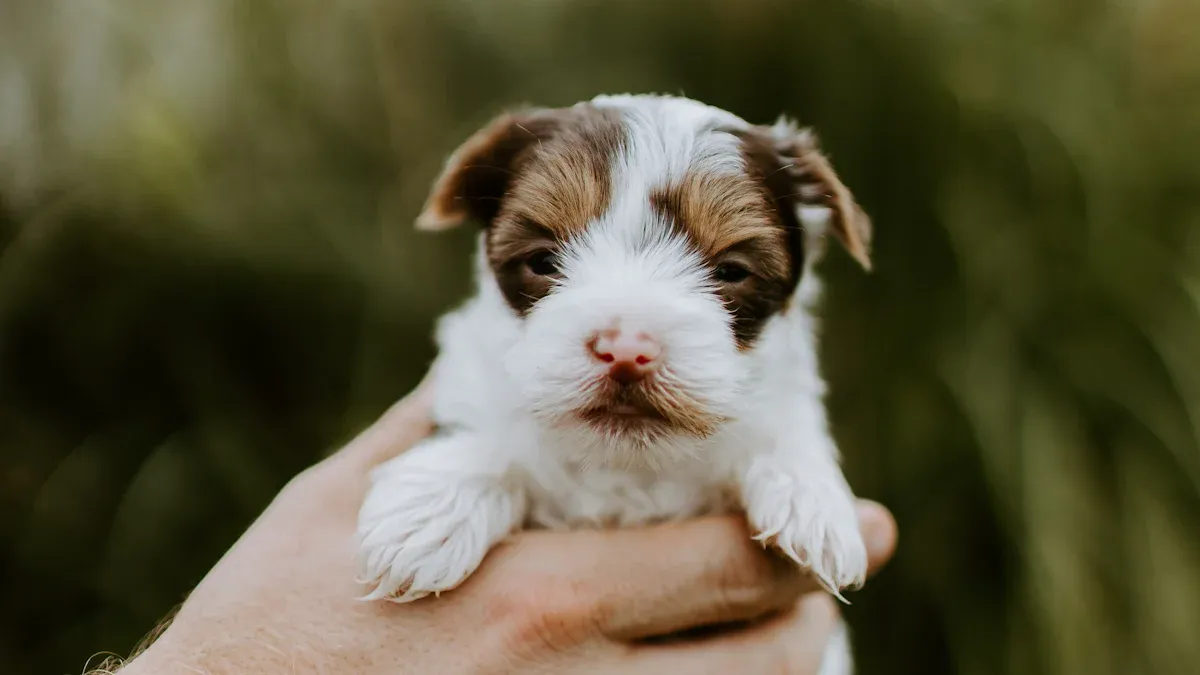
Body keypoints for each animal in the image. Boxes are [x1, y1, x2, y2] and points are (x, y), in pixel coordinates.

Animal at [355, 91, 873, 667]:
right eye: (542, 260)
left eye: (732, 271)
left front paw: (812, 503)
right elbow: (486, 433)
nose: (627, 350)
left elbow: (783, 429)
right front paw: (427, 512)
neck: (627, 466)